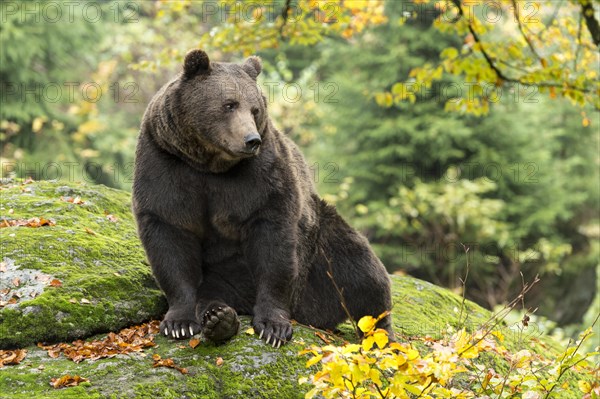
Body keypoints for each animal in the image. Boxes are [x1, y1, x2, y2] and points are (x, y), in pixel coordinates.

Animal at [132, 49, 394, 346]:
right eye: (229, 104)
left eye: (255, 109)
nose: (251, 139)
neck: (210, 164)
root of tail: (308, 313)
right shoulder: (166, 162)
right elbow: (170, 233)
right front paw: (179, 323)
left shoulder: (262, 175)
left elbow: (272, 242)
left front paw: (273, 326)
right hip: (224, 275)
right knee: (211, 292)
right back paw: (220, 318)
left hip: (320, 244)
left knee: (361, 271)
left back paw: (382, 334)